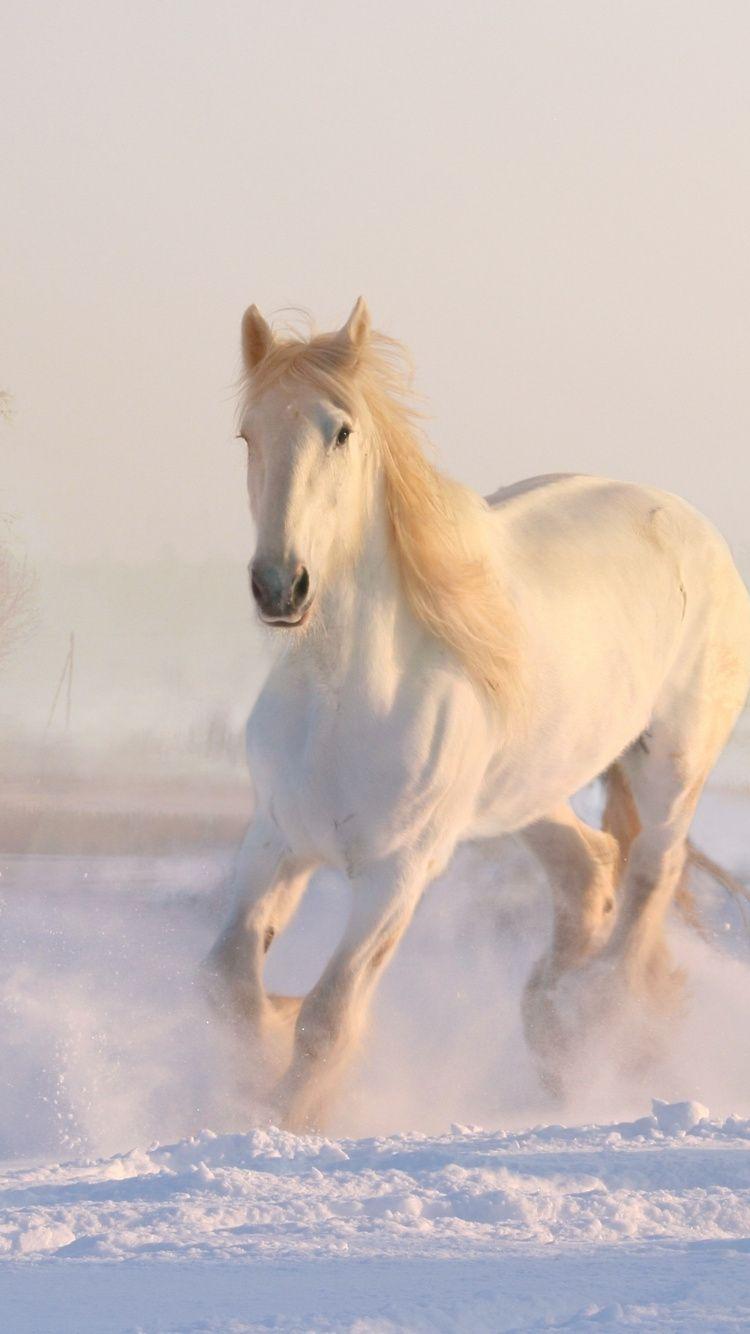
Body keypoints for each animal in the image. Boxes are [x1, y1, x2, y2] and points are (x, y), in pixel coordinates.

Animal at [205, 298, 750, 1132]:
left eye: (341, 431)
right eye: (247, 433)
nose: (280, 586)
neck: (343, 699)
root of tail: (692, 525)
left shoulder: (398, 872)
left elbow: (329, 1017)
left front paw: (290, 1118)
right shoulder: (275, 840)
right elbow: (230, 984)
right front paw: (260, 1066)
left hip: (672, 765)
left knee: (651, 874)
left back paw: (600, 1024)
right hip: (526, 791)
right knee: (590, 867)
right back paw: (554, 1027)